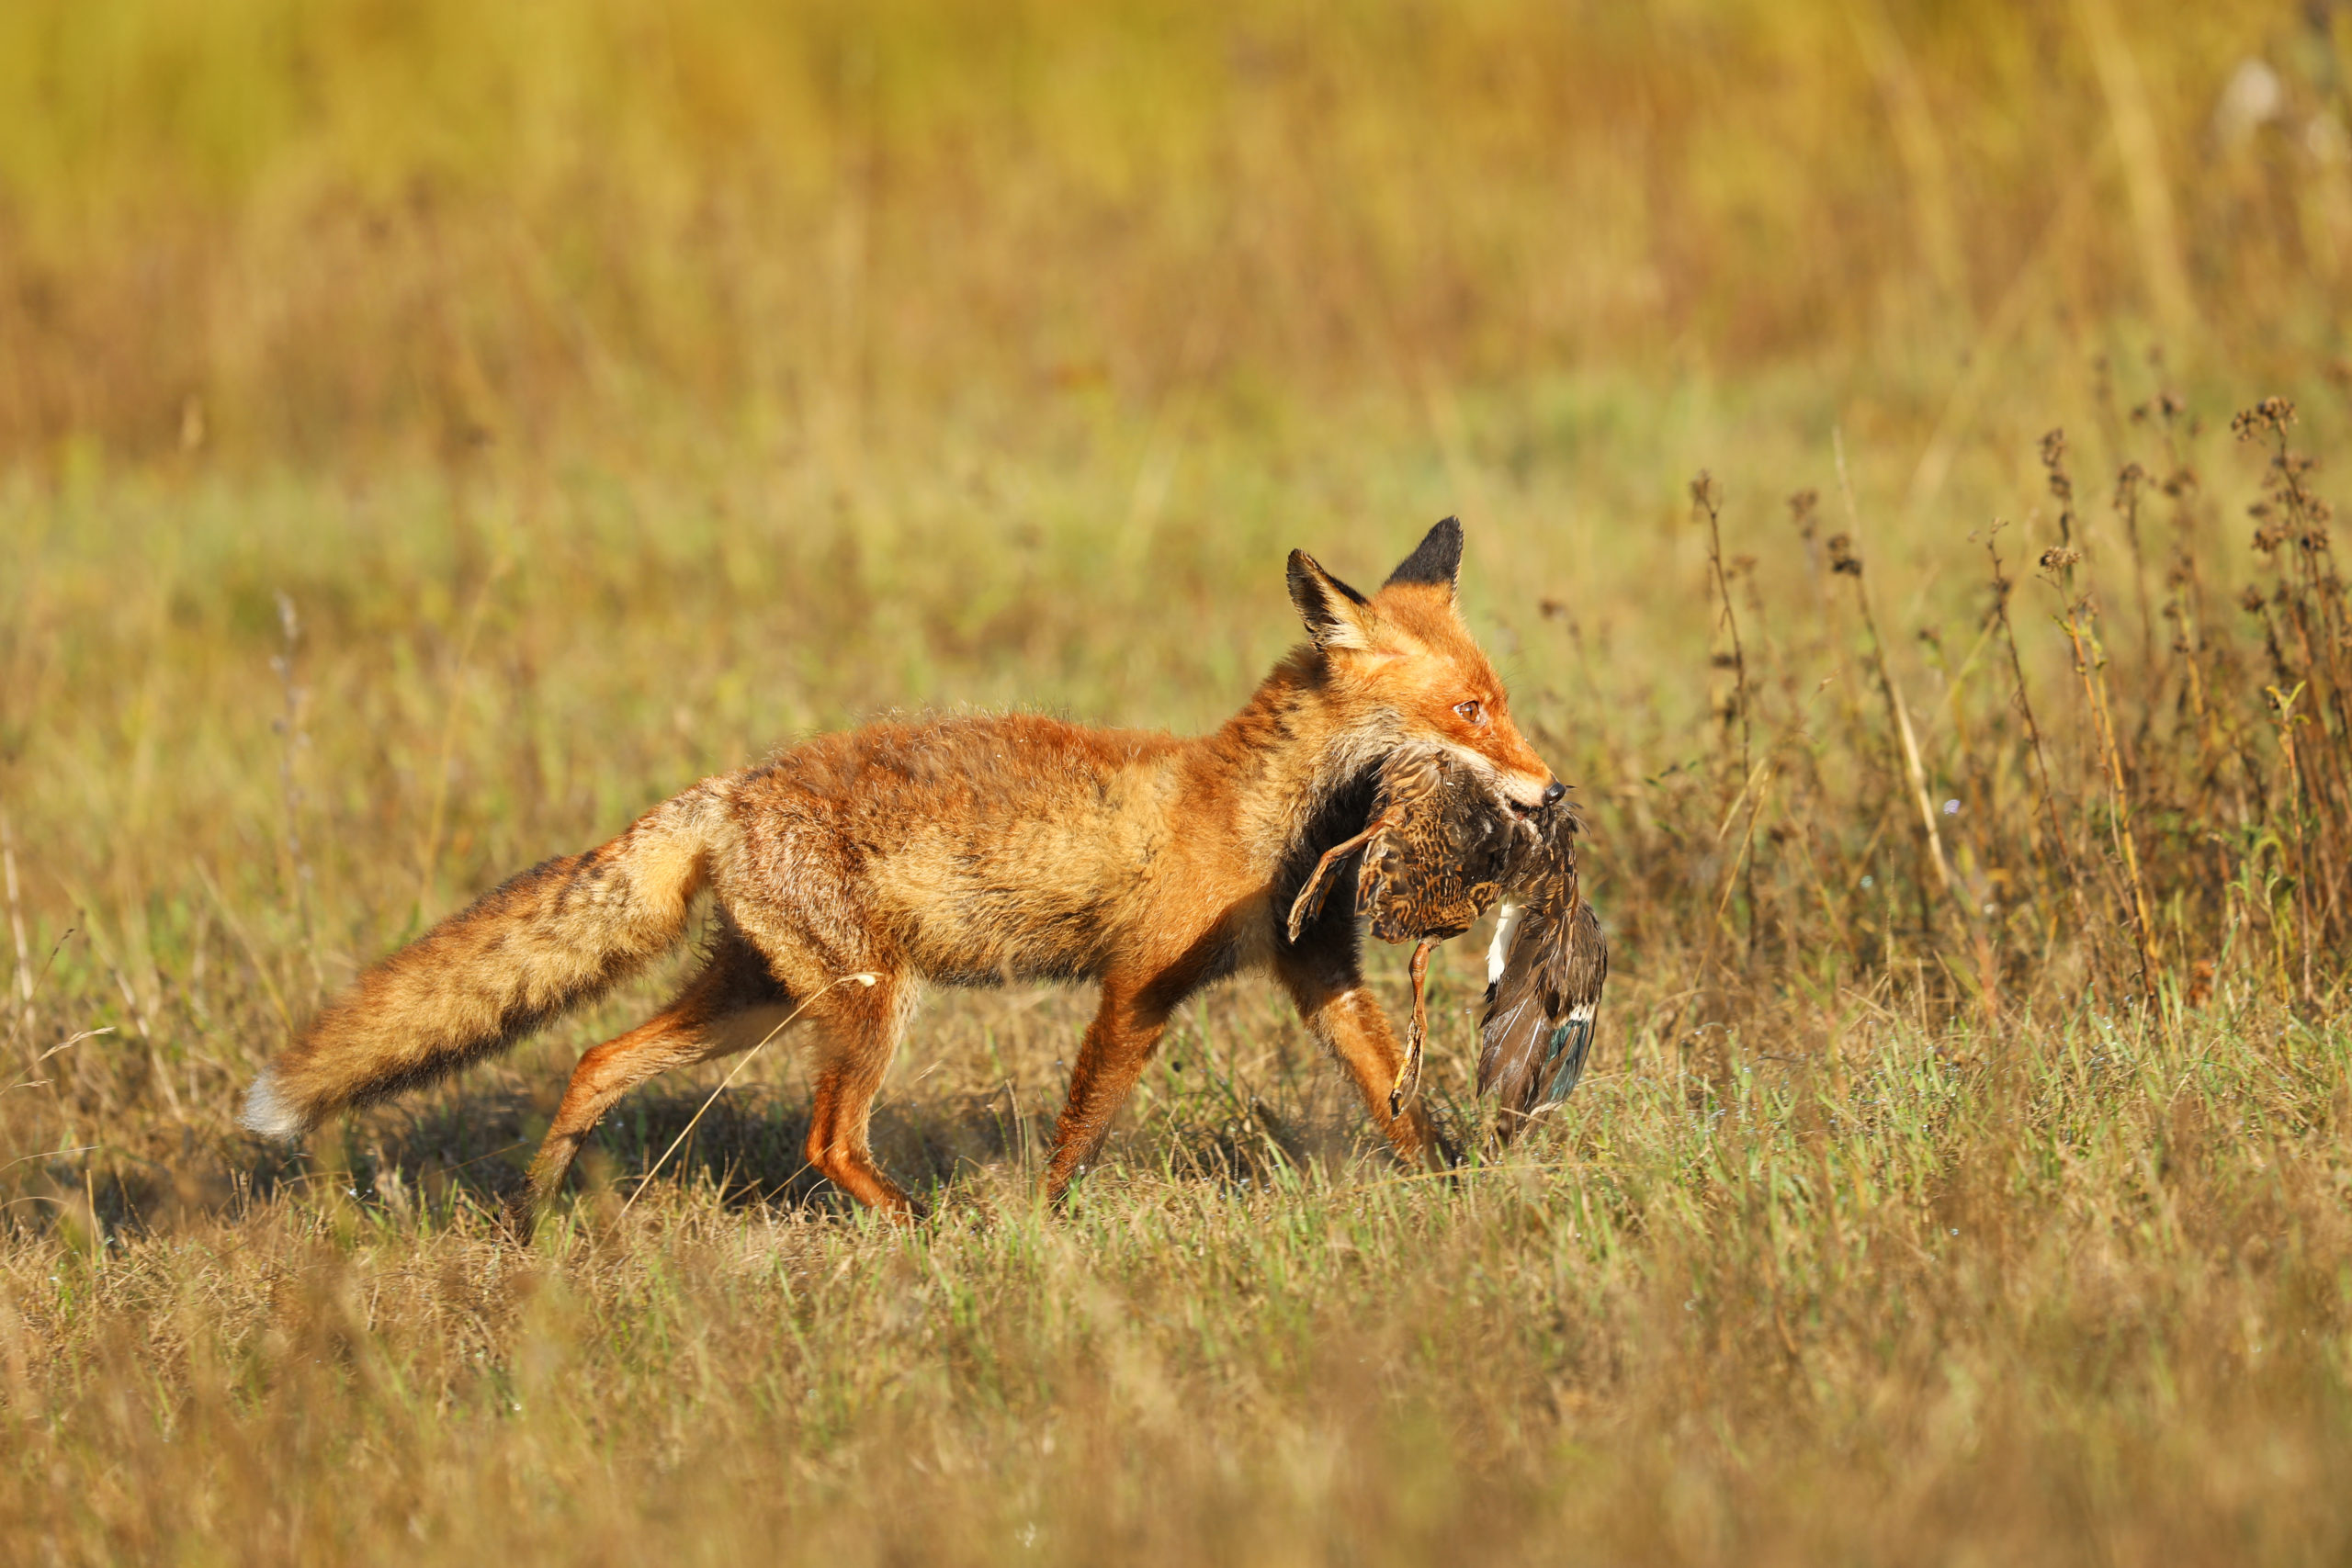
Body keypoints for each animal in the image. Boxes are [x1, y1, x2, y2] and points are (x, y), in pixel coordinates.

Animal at [238, 522, 1561, 1222]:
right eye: (1470, 709)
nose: (1551, 792)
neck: (1252, 809)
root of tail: (732, 786)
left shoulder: (1315, 967)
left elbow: (1397, 1097)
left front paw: (1457, 1192)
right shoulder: (1138, 985)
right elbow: (1080, 1128)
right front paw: (1042, 1226)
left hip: (762, 1001)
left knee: (598, 1056)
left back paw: (541, 1207)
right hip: (869, 1004)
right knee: (825, 1141)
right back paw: (917, 1229)